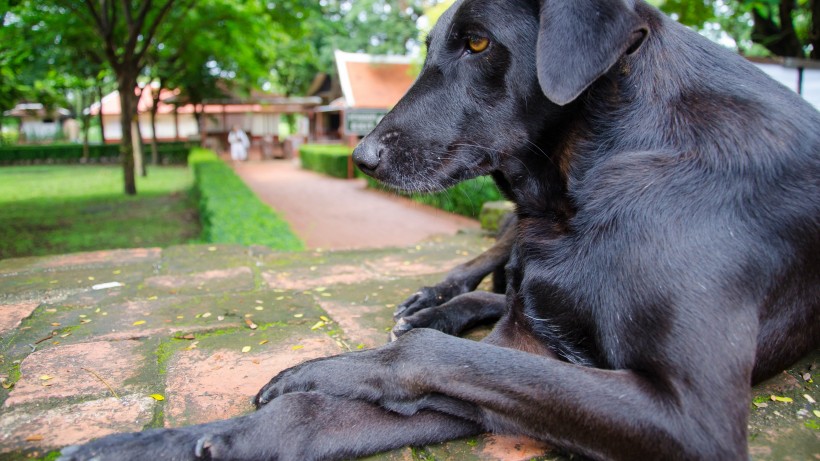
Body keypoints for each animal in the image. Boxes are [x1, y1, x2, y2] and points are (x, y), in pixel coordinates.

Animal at [60, 0, 816, 458]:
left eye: (479, 42)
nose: (361, 158)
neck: (598, 171)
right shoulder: (530, 347)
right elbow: (317, 414)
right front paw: (138, 446)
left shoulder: (689, 416)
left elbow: (428, 359)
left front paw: (320, 370)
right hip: (512, 243)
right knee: (489, 270)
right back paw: (432, 299)